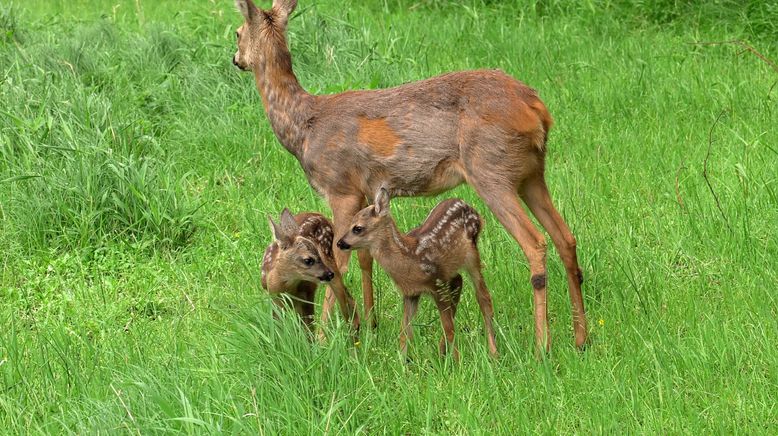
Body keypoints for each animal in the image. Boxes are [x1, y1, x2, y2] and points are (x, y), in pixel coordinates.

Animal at [233, 0, 584, 350]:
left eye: (237, 32)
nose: (236, 59)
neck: (304, 127)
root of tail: (538, 109)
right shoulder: (365, 192)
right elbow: (364, 257)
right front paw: (370, 325)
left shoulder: (340, 188)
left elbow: (338, 261)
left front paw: (326, 337)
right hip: (531, 174)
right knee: (565, 237)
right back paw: (581, 337)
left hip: (490, 171)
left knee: (535, 243)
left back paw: (542, 346)